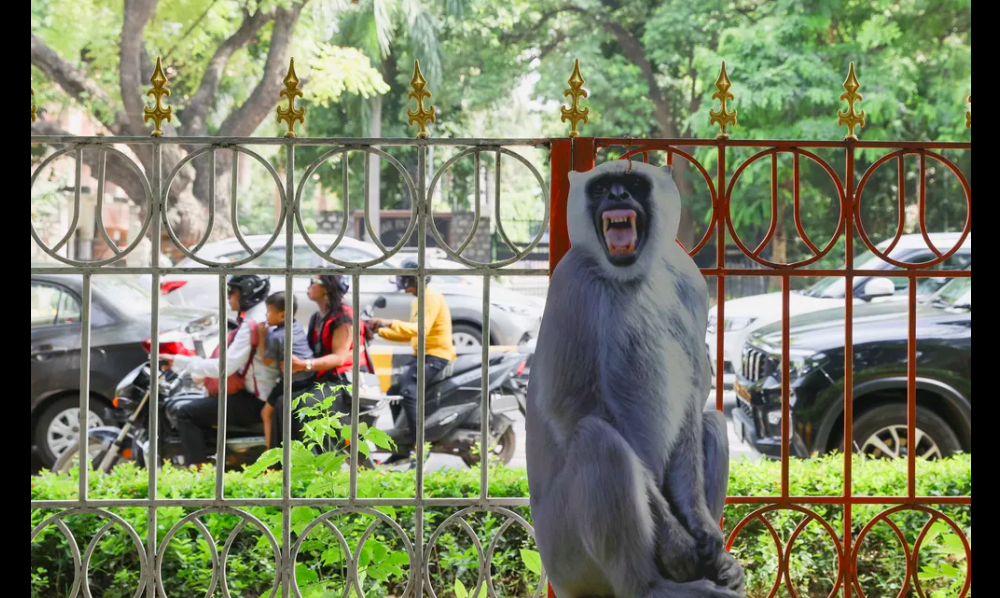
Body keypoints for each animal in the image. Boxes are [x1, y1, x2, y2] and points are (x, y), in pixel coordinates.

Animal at [528, 161, 748, 598]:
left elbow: (693, 398)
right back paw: (651, 585)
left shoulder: (689, 281)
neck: (629, 276)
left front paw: (703, 530)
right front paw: (679, 544)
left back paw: (717, 565)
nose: (617, 195)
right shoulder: (572, 281)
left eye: (631, 183)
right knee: (599, 440)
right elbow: (571, 406)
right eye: (601, 188)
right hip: (565, 553)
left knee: (713, 422)